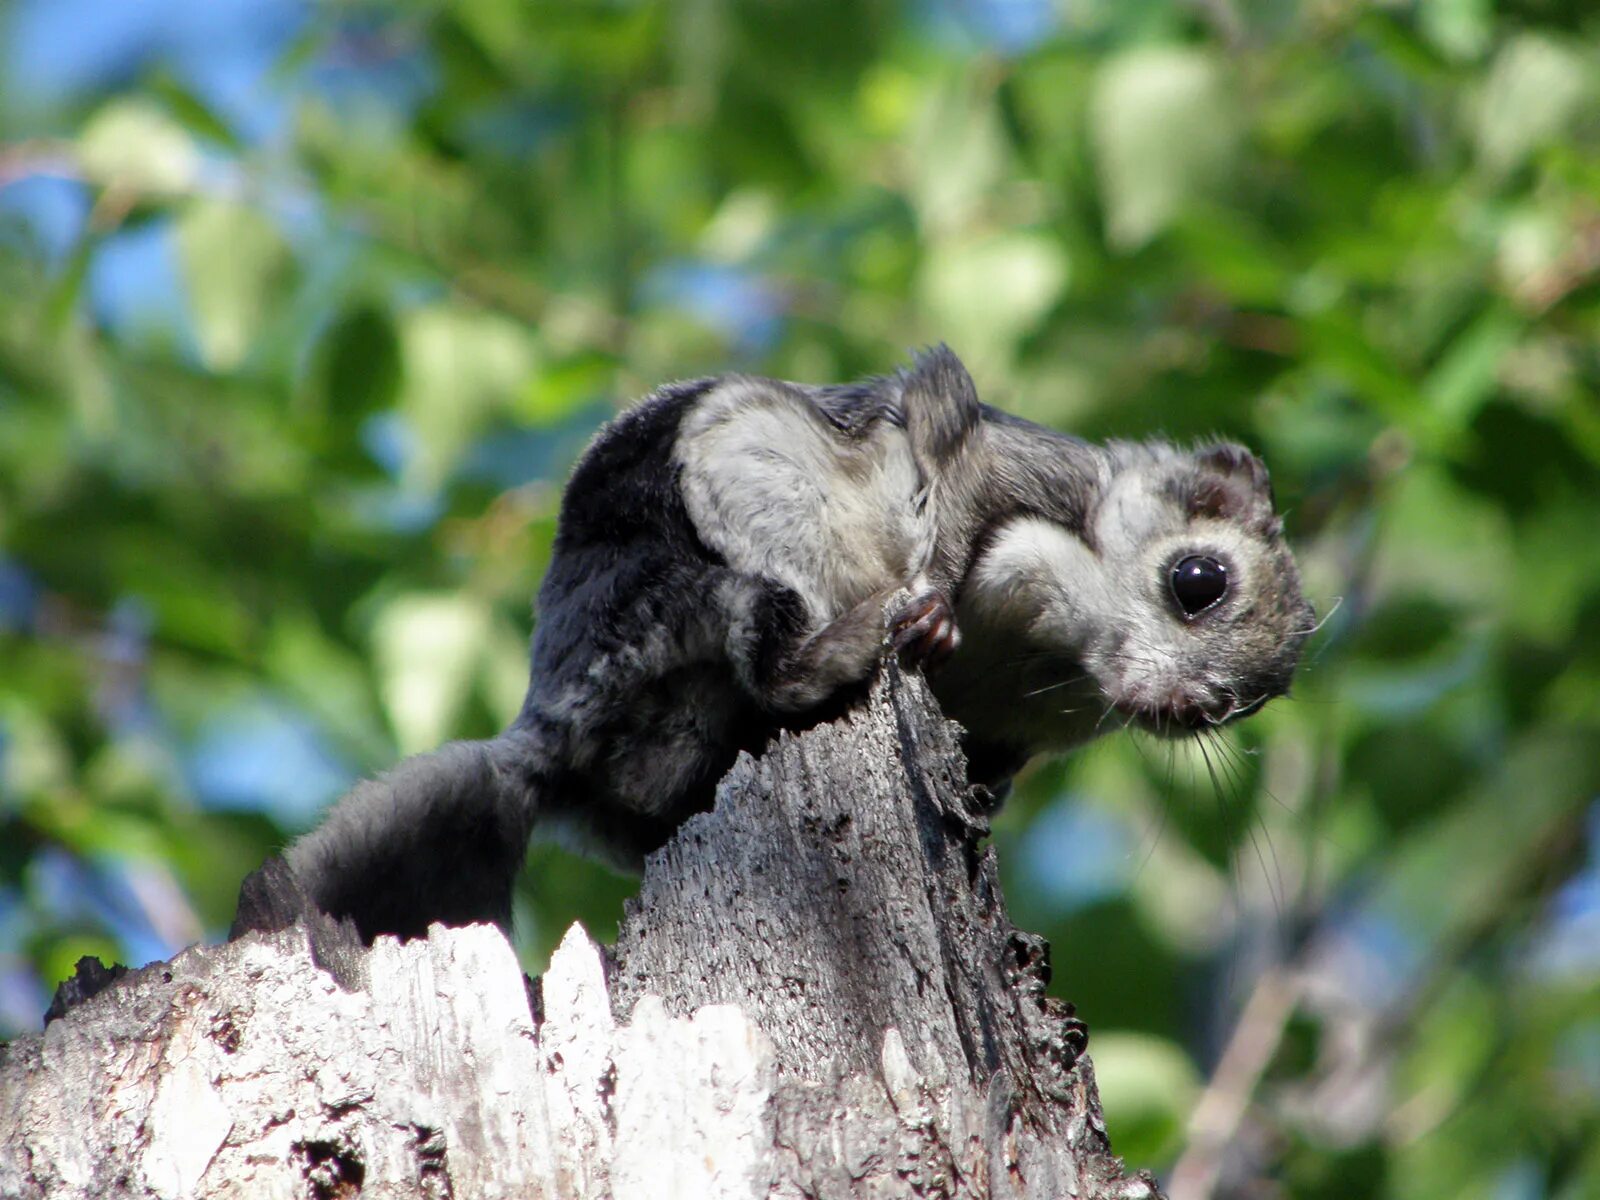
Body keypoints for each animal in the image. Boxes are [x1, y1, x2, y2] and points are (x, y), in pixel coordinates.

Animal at [233, 347, 1312, 947]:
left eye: (1247, 703)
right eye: (1198, 581)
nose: (1183, 705)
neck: (1056, 656)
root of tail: (553, 733)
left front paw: (979, 799)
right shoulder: (996, 460)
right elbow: (951, 501)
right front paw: (929, 605)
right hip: (727, 527)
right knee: (768, 657)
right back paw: (856, 638)